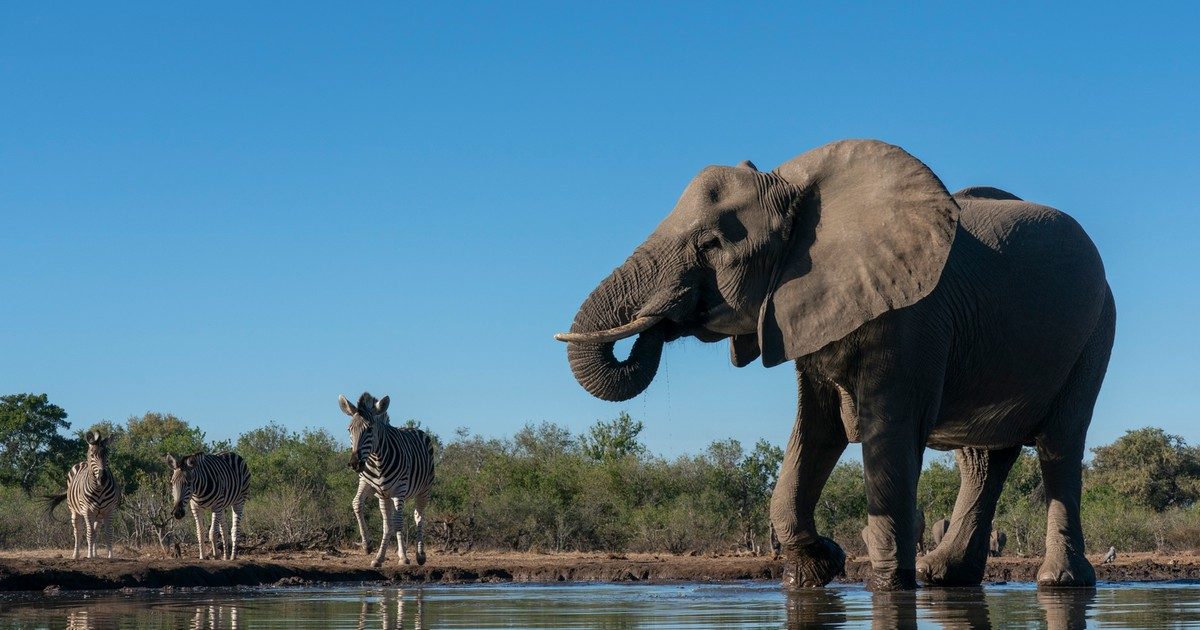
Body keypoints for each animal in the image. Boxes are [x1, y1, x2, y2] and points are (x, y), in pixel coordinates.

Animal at [338, 391, 436, 566]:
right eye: (349, 429)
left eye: (369, 429)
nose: (355, 463)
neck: (377, 460)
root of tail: (414, 428)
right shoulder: (370, 485)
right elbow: (357, 504)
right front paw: (369, 548)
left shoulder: (400, 489)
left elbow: (398, 523)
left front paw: (402, 557)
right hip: (387, 495)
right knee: (389, 522)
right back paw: (395, 555)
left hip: (424, 490)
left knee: (418, 517)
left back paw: (419, 555)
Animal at [554, 138, 1113, 590]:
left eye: (712, 244)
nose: (659, 324)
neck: (798, 193)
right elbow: (817, 430)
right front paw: (816, 569)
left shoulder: (914, 318)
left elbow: (886, 433)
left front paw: (887, 586)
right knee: (982, 459)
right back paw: (944, 575)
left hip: (1095, 332)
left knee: (1059, 445)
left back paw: (1058, 583)